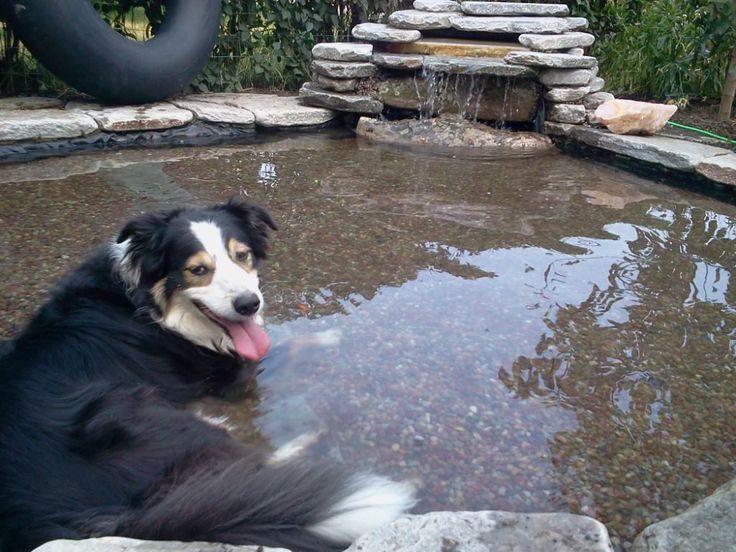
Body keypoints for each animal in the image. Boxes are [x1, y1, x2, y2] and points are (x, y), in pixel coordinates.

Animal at [0, 201, 414, 552]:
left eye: (242, 255)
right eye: (197, 270)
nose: (249, 304)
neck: (147, 306)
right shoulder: (233, 376)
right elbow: (280, 347)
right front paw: (331, 337)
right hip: (149, 418)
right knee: (250, 463)